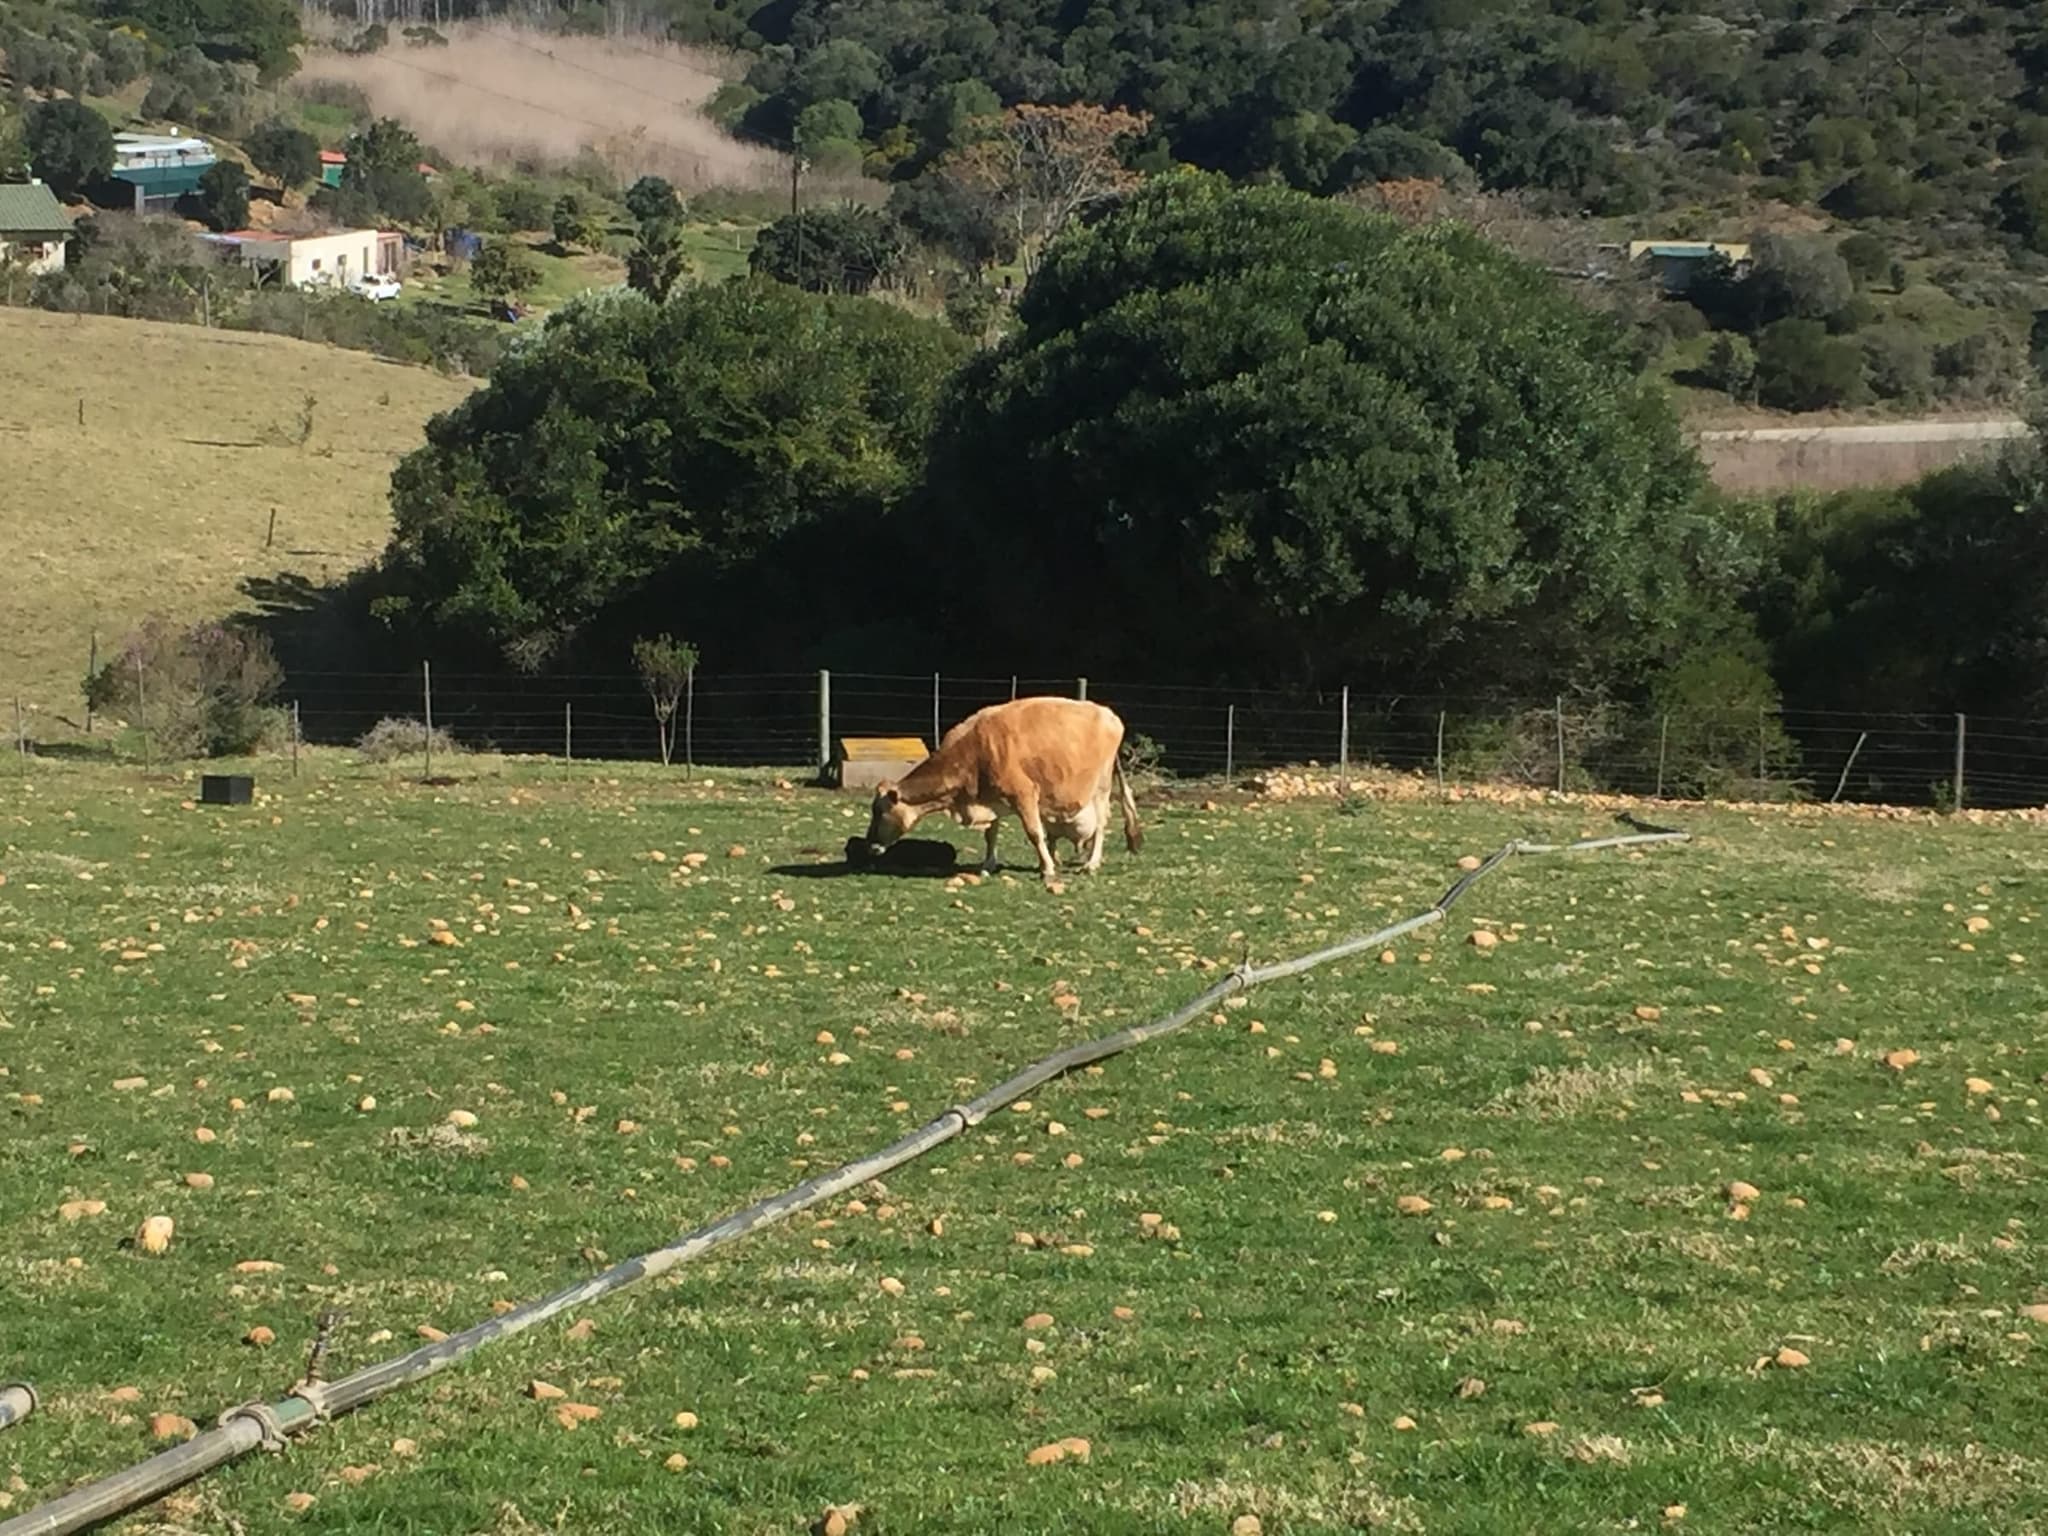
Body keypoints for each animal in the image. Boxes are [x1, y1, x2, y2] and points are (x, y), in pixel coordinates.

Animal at [864, 697, 1143, 886]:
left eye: (880, 811)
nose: (869, 845)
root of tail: (1107, 713)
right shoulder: (991, 799)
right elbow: (991, 834)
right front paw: (988, 864)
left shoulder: (1024, 793)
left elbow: (1034, 833)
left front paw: (1047, 870)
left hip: (1101, 786)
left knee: (1101, 824)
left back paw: (1090, 863)